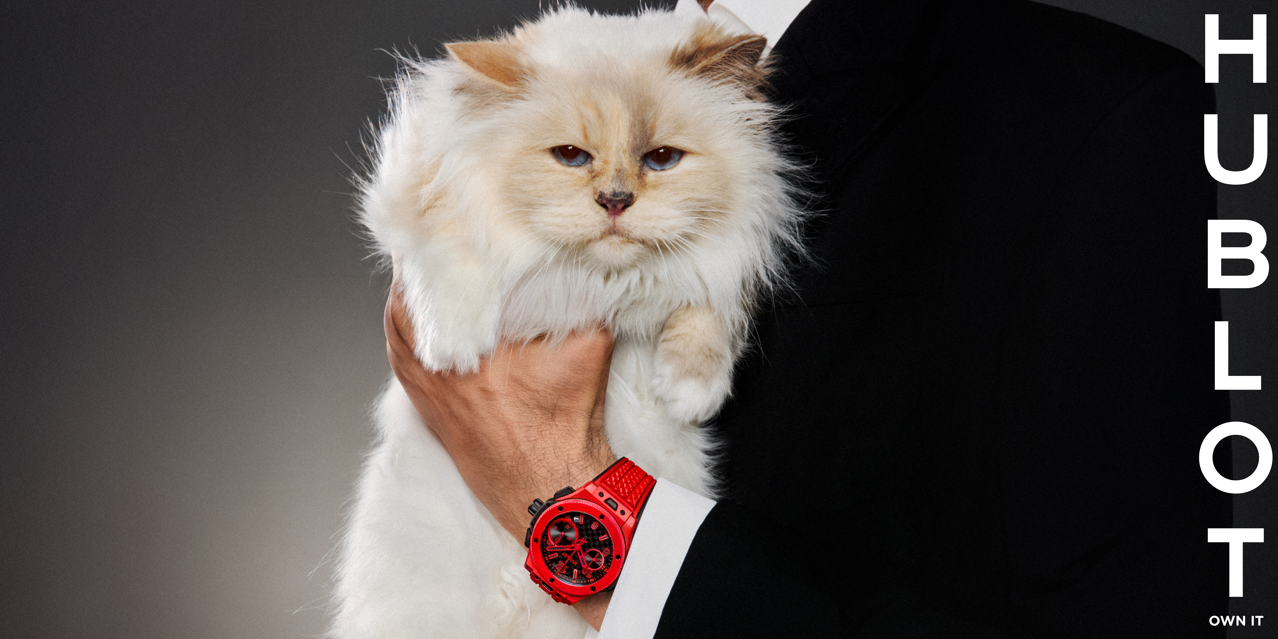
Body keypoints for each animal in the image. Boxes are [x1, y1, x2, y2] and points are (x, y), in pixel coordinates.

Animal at [331, 7, 804, 639]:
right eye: (571, 157)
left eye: (661, 160)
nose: (615, 201)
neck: (596, 284)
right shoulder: (416, 191)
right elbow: (450, 243)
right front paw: (452, 347)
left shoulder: (734, 253)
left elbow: (709, 307)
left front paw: (688, 392)